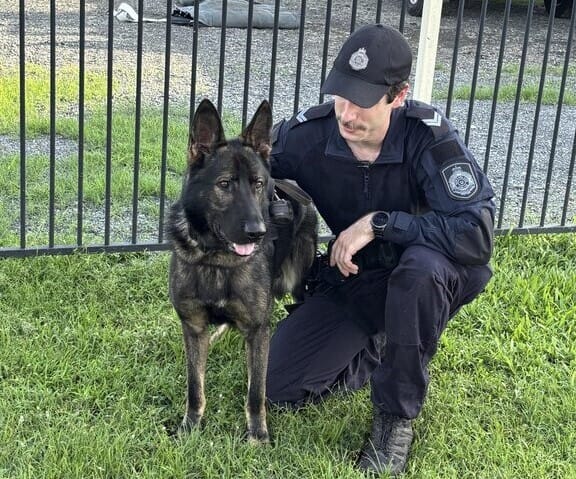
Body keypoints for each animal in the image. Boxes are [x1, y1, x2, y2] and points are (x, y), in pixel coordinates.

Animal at [167, 99, 317, 443]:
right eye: (224, 185)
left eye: (258, 184)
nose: (258, 233)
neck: (218, 260)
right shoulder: (193, 328)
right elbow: (195, 386)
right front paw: (190, 427)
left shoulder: (258, 330)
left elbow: (256, 390)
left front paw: (258, 436)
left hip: (297, 278)